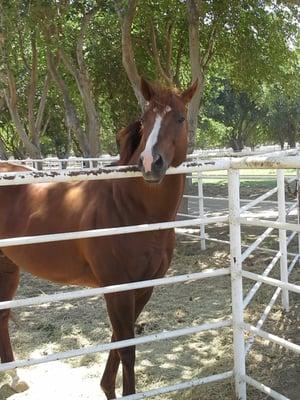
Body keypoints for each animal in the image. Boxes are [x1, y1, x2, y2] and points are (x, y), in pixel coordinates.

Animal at [0, 77, 198, 396]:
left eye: (180, 118)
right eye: (145, 119)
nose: (149, 162)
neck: (130, 207)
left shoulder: (143, 287)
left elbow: (119, 340)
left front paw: (107, 387)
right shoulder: (117, 288)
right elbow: (126, 347)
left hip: (7, 268)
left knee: (3, 317)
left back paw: (15, 378)